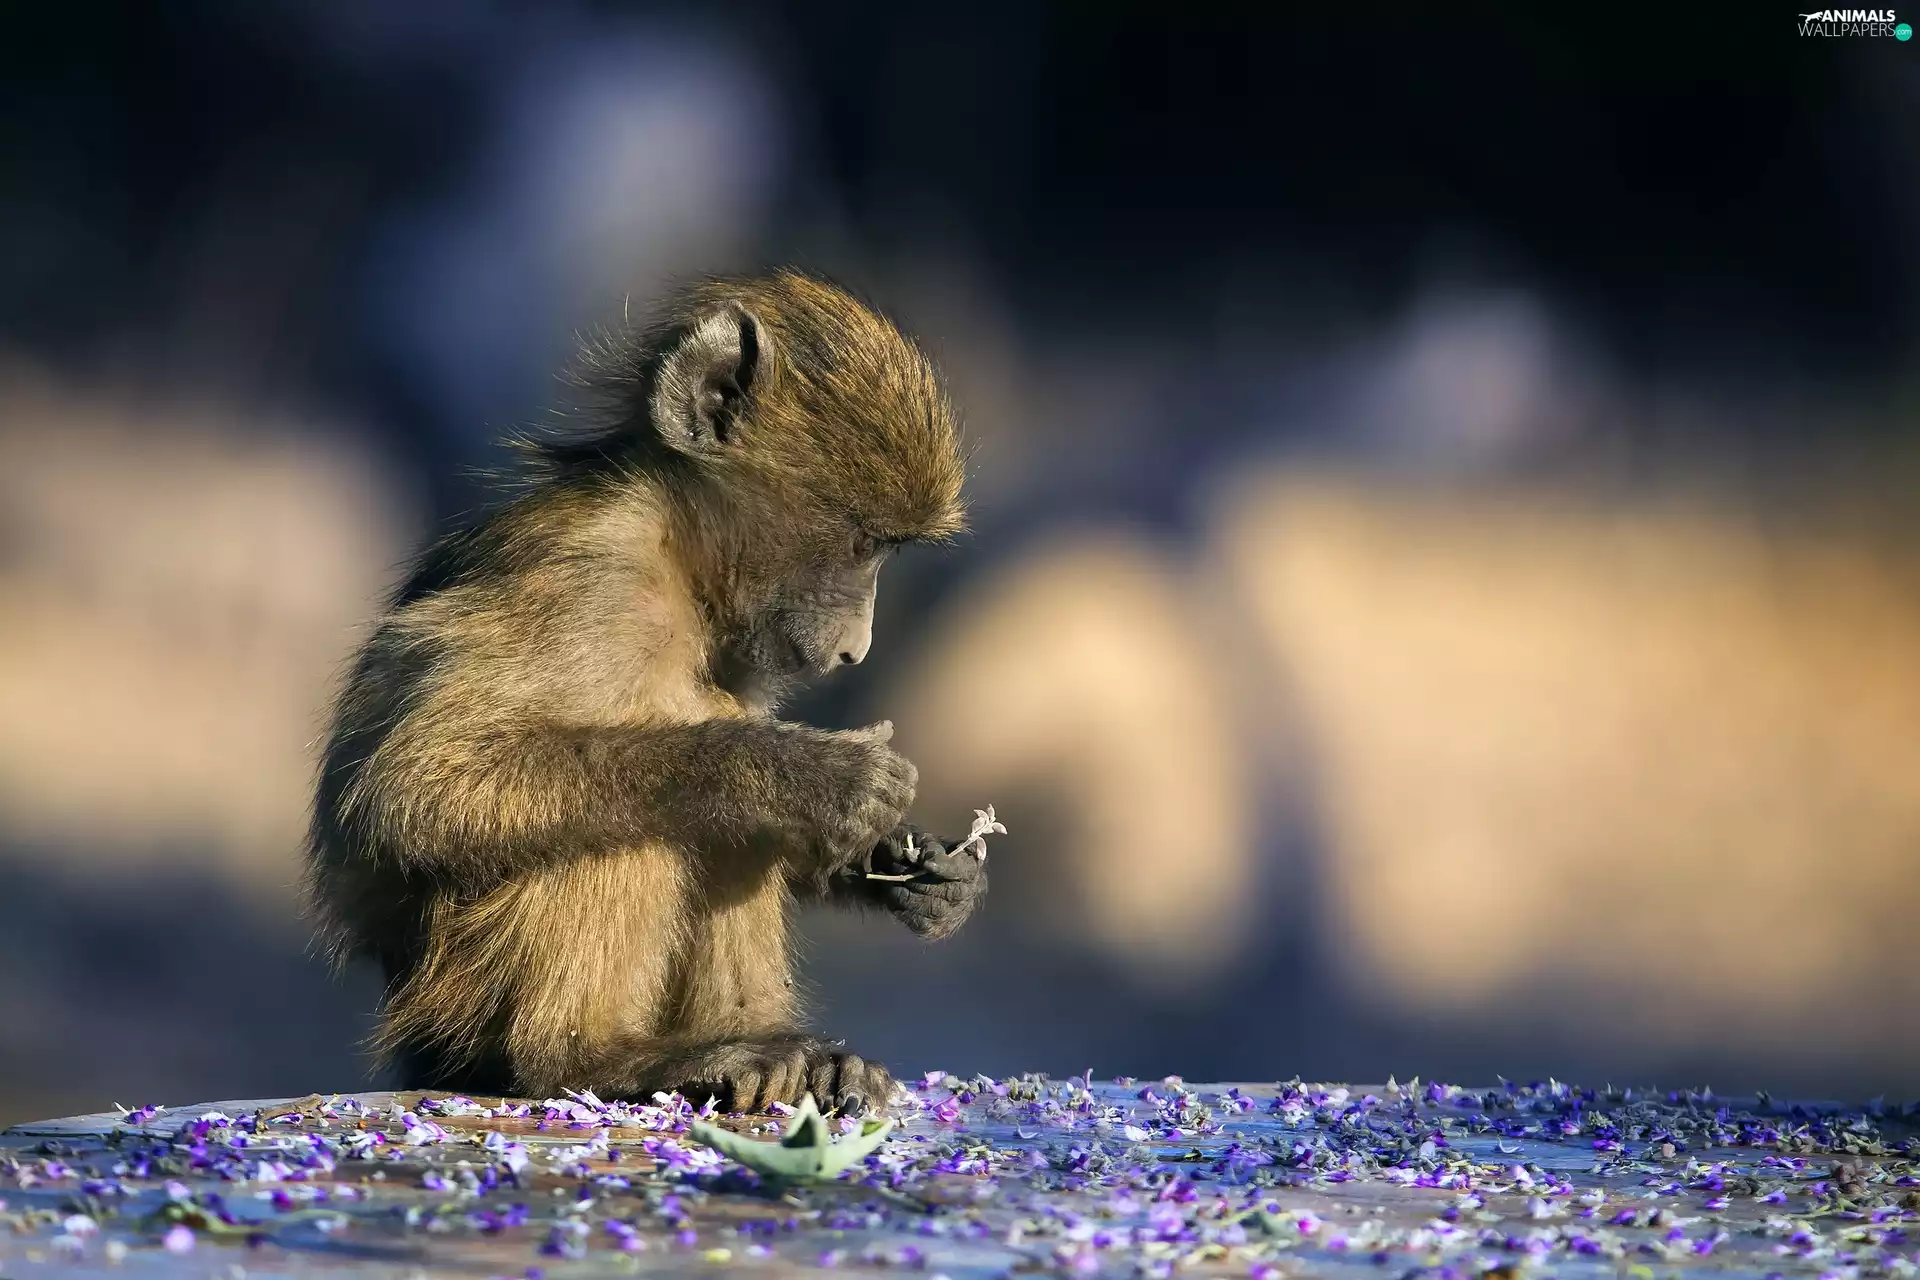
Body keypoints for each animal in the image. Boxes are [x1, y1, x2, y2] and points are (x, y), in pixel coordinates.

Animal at [304, 270, 986, 1115]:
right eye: (863, 544)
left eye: (887, 550)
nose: (853, 648)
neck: (674, 554)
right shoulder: (589, 579)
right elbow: (411, 788)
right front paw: (811, 776)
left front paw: (920, 867)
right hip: (457, 991)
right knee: (646, 818)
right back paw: (598, 1059)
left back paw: (787, 1052)